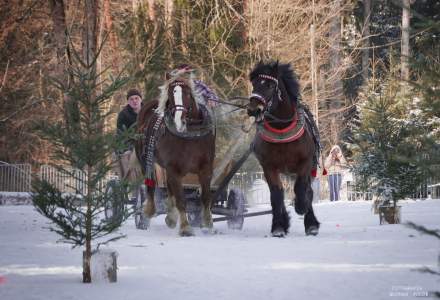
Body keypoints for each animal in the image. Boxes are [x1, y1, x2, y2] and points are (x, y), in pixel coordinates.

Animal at [136, 68, 215, 237]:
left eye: (187, 94)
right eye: (171, 95)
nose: (179, 121)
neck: (191, 136)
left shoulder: (206, 168)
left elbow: (206, 196)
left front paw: (208, 224)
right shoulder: (174, 169)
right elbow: (181, 199)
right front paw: (185, 228)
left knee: (169, 187)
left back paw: (171, 217)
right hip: (145, 161)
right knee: (151, 185)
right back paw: (149, 211)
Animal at [248, 61, 320, 238]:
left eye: (269, 84)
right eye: (254, 84)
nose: (253, 109)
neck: (281, 128)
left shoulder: (305, 162)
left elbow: (301, 188)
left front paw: (301, 207)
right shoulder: (269, 167)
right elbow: (276, 195)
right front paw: (278, 226)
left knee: (308, 191)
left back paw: (311, 222)